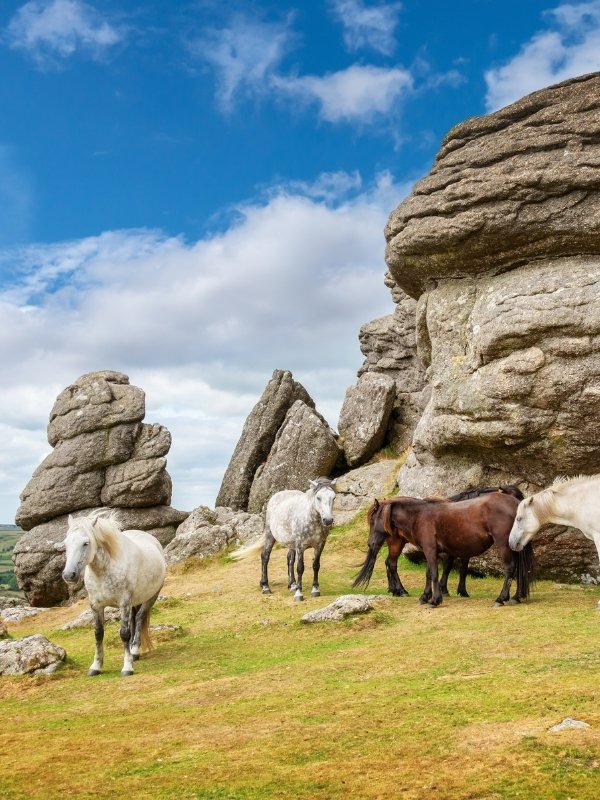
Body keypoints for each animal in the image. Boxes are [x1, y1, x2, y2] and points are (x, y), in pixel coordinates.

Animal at [60, 512, 166, 676]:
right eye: (66, 544)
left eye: (86, 543)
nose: (69, 575)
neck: (105, 570)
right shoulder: (96, 606)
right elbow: (98, 633)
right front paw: (96, 666)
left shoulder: (124, 603)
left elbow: (124, 633)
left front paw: (127, 667)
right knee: (134, 620)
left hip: (151, 597)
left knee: (139, 618)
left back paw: (135, 651)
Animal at [352, 488, 536, 608]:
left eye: (373, 520)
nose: (371, 543)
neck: (419, 516)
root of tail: (514, 504)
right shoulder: (429, 551)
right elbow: (429, 573)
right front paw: (425, 597)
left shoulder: (431, 550)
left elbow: (434, 573)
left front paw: (435, 600)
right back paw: (515, 597)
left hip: (504, 545)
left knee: (510, 568)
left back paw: (500, 599)